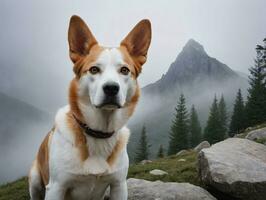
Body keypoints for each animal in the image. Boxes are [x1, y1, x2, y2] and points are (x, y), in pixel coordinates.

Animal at [28, 14, 152, 199]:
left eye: (124, 70)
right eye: (94, 69)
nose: (111, 88)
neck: (99, 133)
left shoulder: (119, 185)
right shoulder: (56, 187)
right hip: (35, 179)